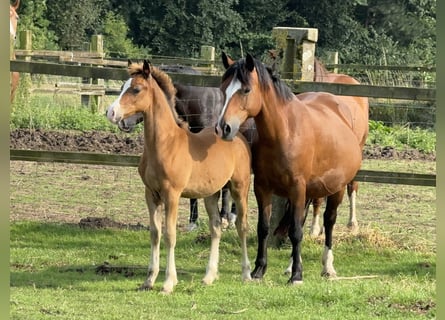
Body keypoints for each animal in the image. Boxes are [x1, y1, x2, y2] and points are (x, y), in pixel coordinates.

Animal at [104, 59, 250, 292]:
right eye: (121, 87)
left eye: (136, 89)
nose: (111, 112)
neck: (165, 144)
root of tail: (236, 136)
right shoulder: (151, 194)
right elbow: (155, 234)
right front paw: (149, 280)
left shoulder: (171, 194)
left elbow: (170, 235)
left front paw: (168, 282)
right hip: (210, 194)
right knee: (216, 227)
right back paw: (209, 276)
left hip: (239, 187)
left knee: (242, 226)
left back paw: (246, 274)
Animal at [216, 53, 364, 284]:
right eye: (223, 89)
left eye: (246, 90)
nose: (224, 128)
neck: (283, 133)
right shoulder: (262, 188)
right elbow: (264, 228)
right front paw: (259, 270)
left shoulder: (297, 188)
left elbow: (295, 232)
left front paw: (297, 275)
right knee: (303, 220)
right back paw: (290, 265)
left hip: (336, 188)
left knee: (329, 221)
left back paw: (327, 267)